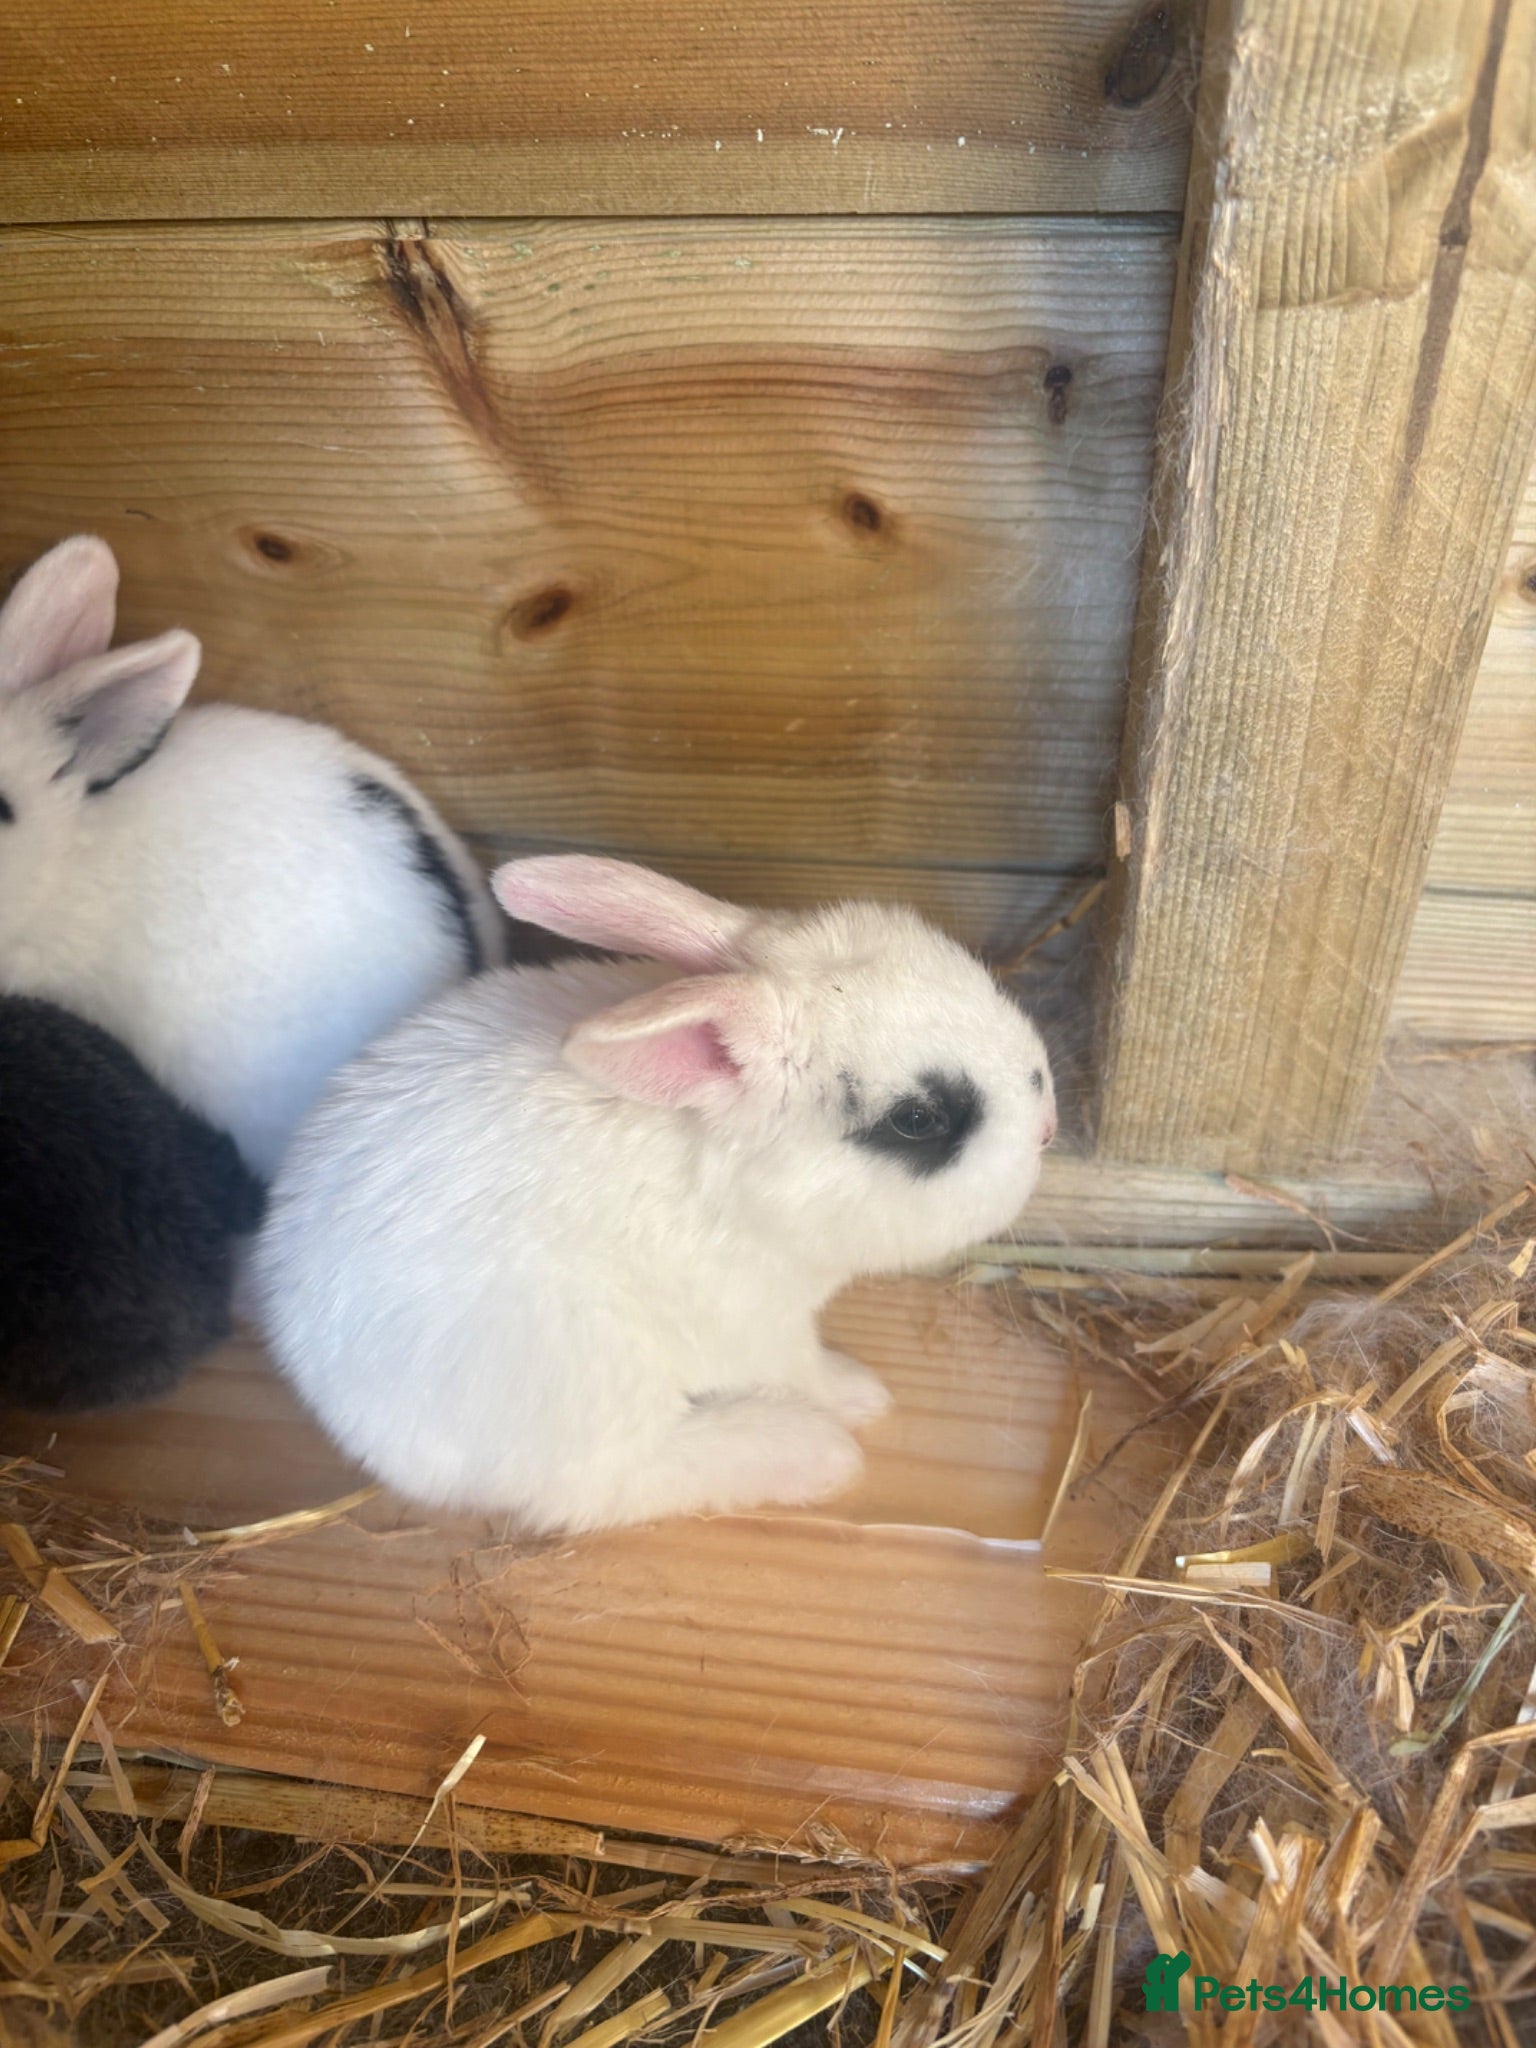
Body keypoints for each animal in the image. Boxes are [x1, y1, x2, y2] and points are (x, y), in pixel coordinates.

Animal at [251, 855, 1057, 1534]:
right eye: (918, 1120)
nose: (1048, 1127)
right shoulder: (759, 1328)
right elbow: (802, 1369)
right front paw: (860, 1395)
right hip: (587, 1376)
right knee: (612, 1484)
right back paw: (811, 1455)